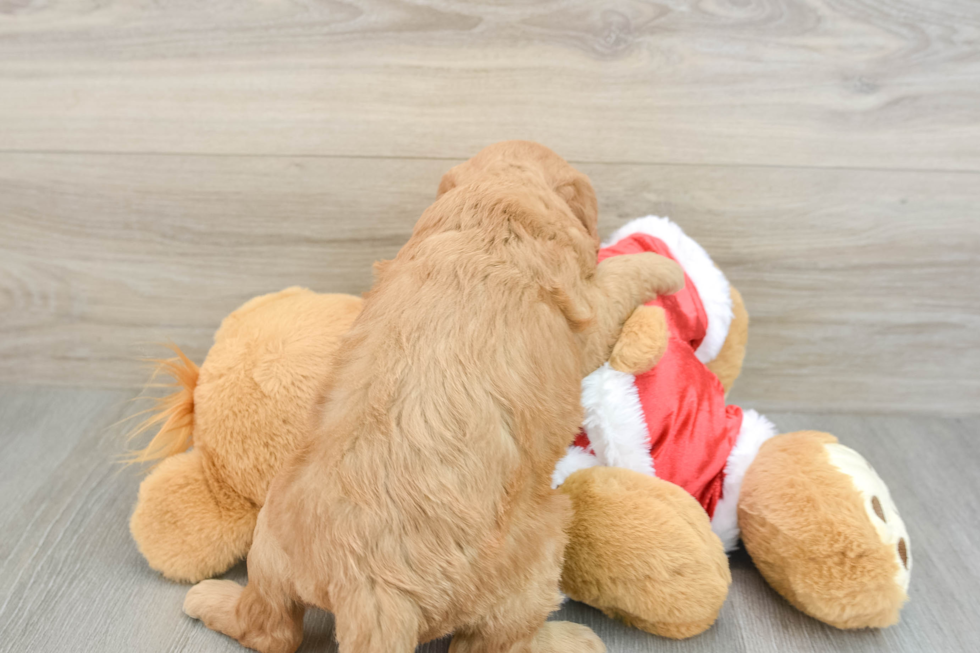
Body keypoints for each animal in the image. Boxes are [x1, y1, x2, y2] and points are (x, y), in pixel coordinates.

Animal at [182, 143, 680, 652]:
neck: (492, 212)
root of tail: (368, 588)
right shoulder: (588, 319)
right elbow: (620, 280)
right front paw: (666, 266)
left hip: (270, 544)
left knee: (269, 628)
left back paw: (208, 599)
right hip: (540, 543)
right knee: (487, 642)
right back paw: (565, 639)